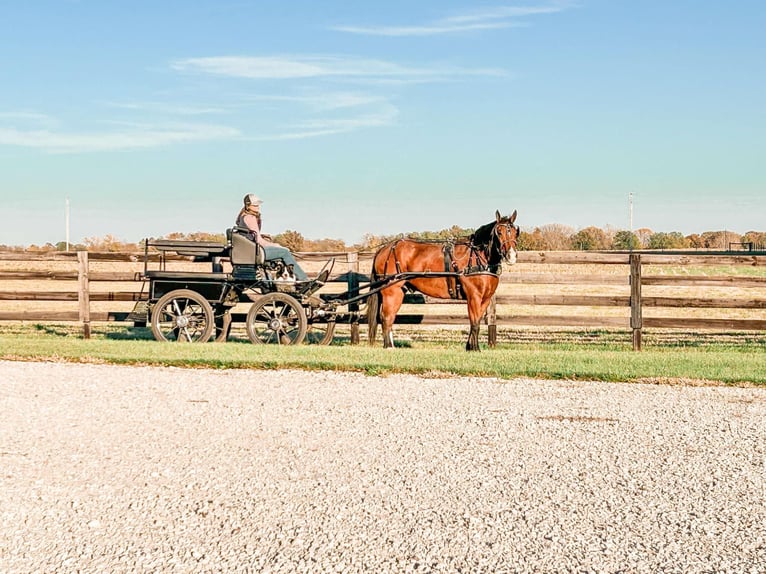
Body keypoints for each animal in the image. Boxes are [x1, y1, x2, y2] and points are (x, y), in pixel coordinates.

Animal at [368, 212, 520, 352]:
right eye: (499, 232)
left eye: (515, 232)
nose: (511, 256)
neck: (478, 257)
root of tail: (383, 249)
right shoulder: (474, 297)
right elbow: (474, 322)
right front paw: (475, 348)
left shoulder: (485, 299)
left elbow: (476, 321)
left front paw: (469, 347)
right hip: (391, 291)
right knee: (386, 317)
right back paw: (388, 346)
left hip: (399, 292)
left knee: (390, 317)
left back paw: (391, 345)